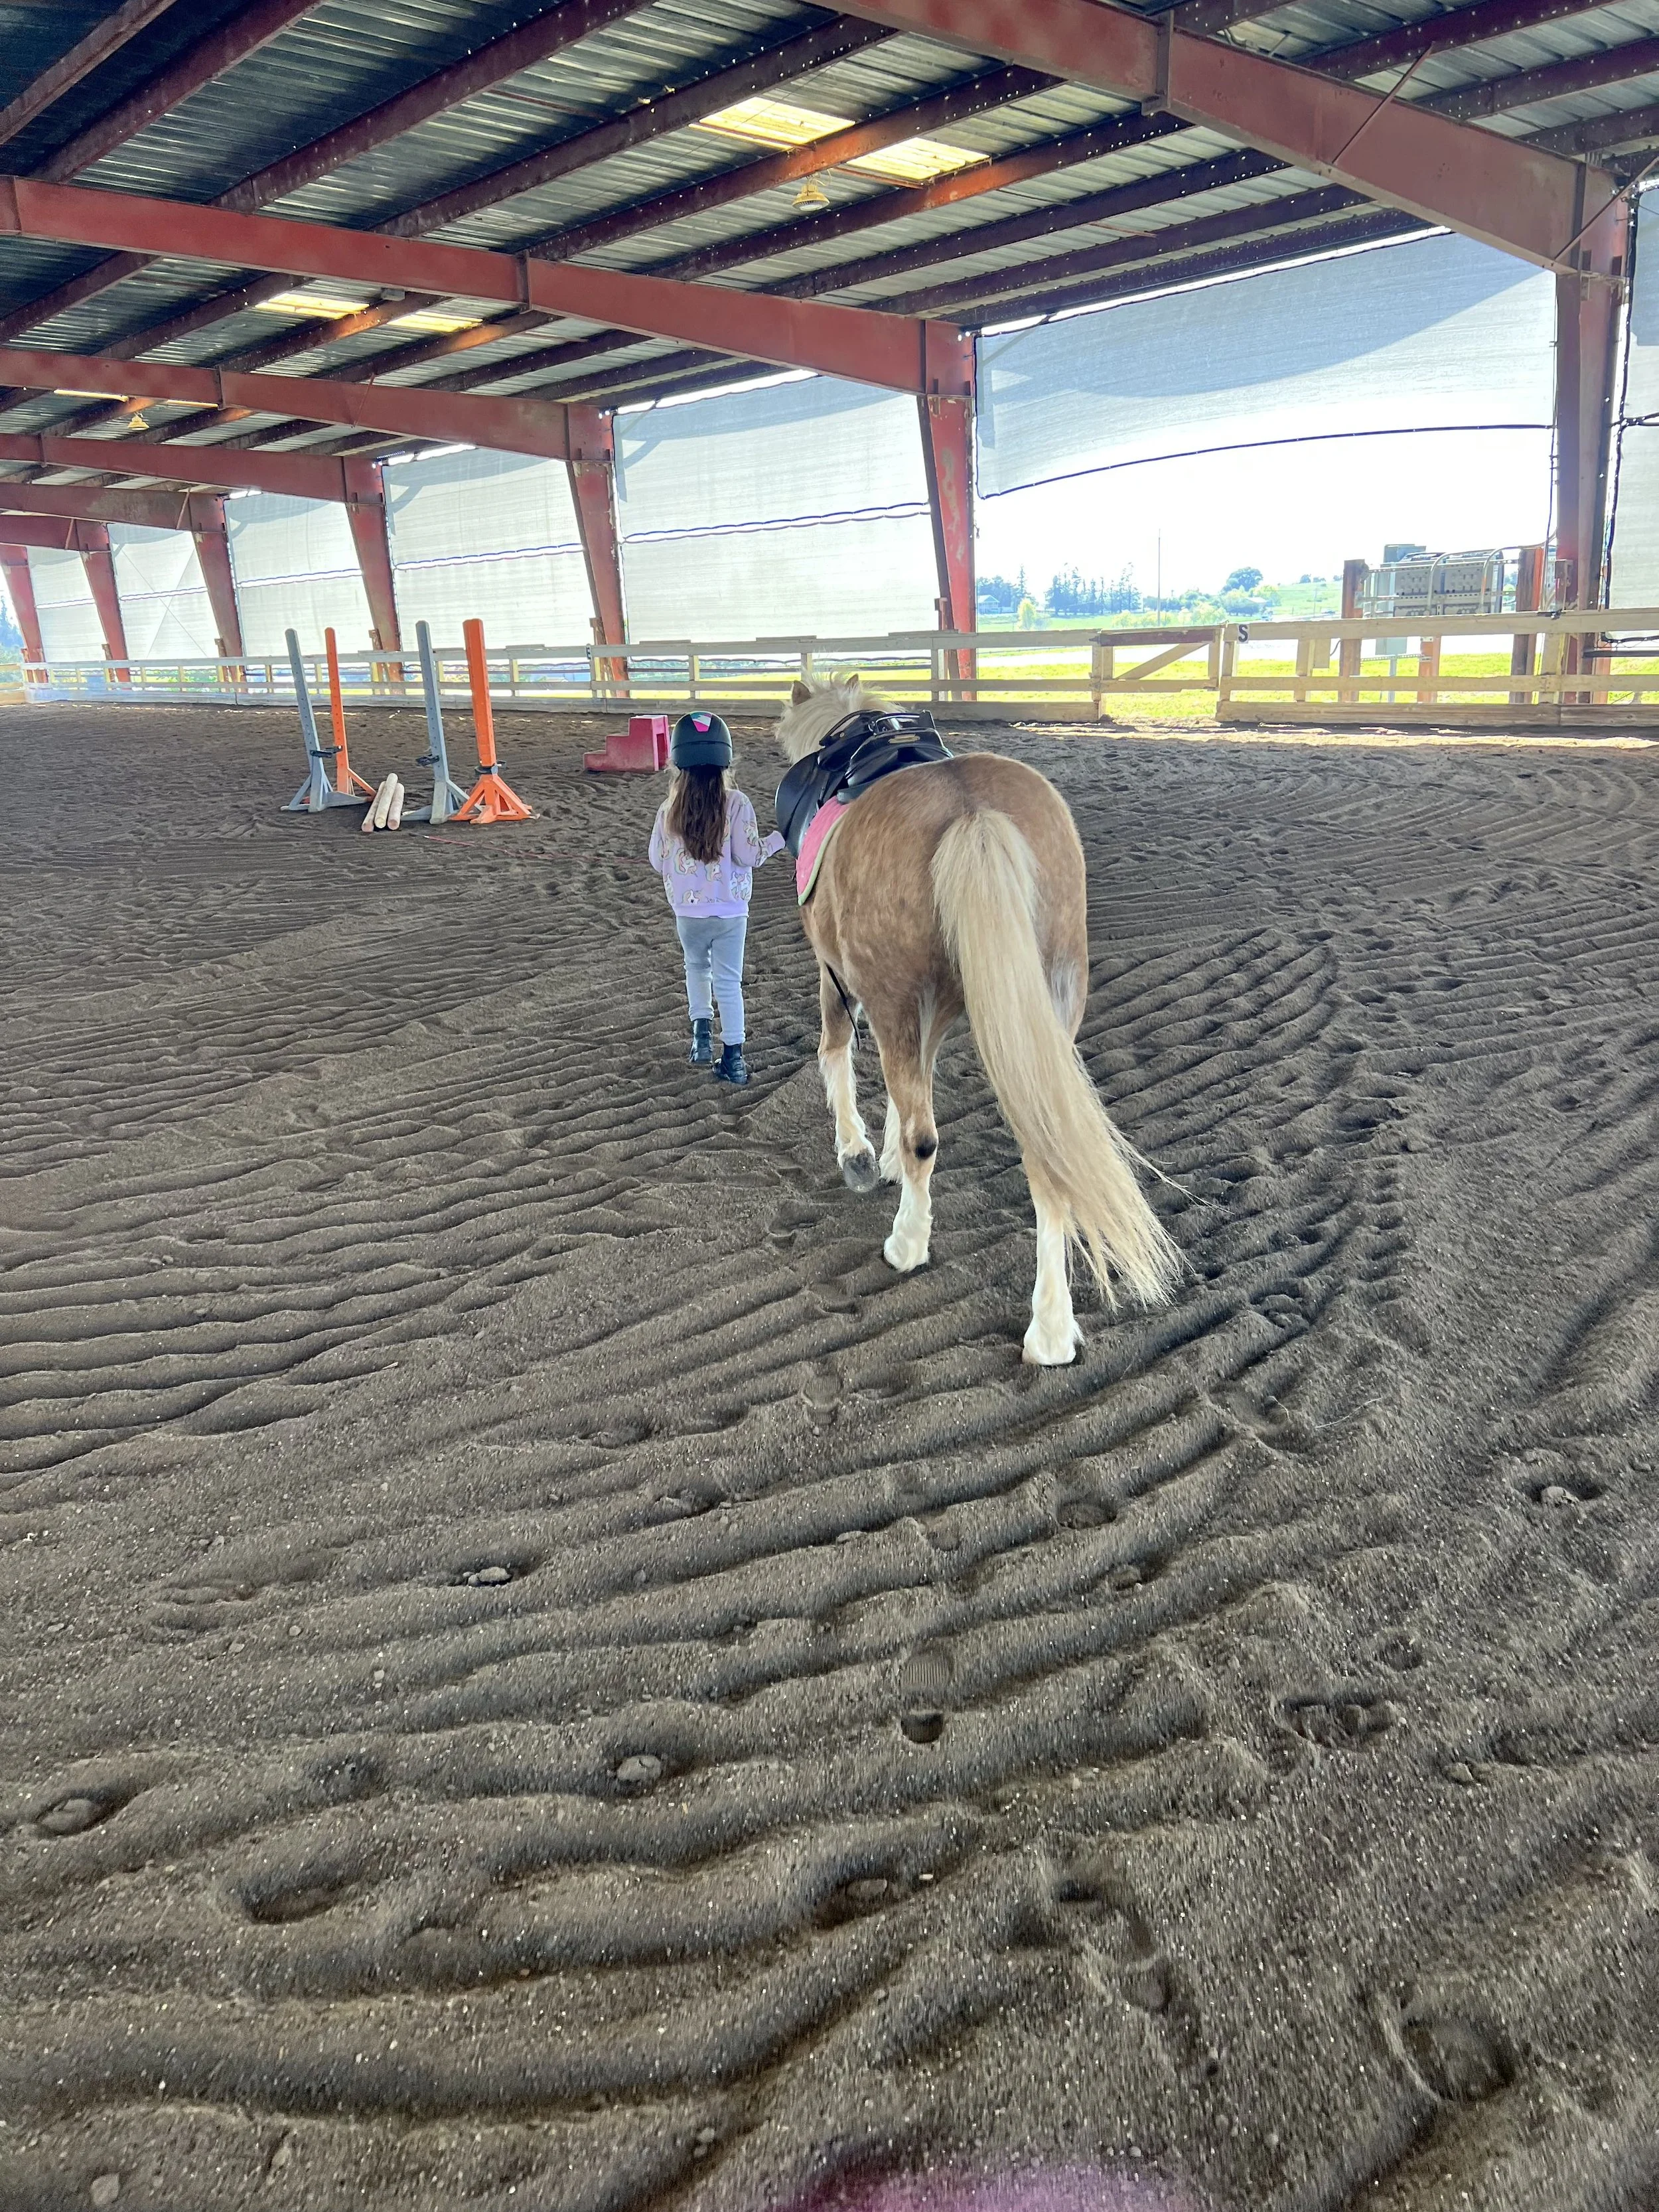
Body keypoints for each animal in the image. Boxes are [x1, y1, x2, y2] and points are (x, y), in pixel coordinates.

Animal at [774, 675, 1181, 1365]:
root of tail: (970, 811)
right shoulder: (935, 1008)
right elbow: (910, 1082)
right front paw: (883, 1157)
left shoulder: (841, 977)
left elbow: (838, 1054)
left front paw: (860, 1156)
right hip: (1048, 1006)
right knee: (1046, 1156)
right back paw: (1051, 1330)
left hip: (889, 993)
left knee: (924, 1134)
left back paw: (907, 1244)